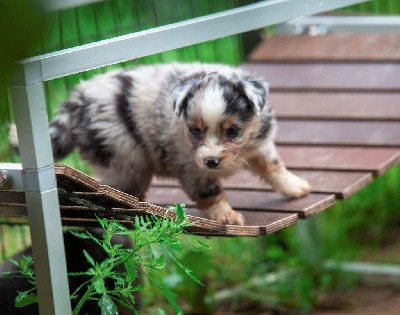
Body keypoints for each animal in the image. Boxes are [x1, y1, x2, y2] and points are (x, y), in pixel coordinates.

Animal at [47, 63, 310, 226]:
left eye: (232, 131)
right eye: (195, 130)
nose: (211, 161)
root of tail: (75, 104)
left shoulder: (261, 144)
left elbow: (274, 166)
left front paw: (296, 187)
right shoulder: (193, 168)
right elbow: (210, 192)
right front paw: (226, 217)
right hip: (123, 154)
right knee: (119, 188)